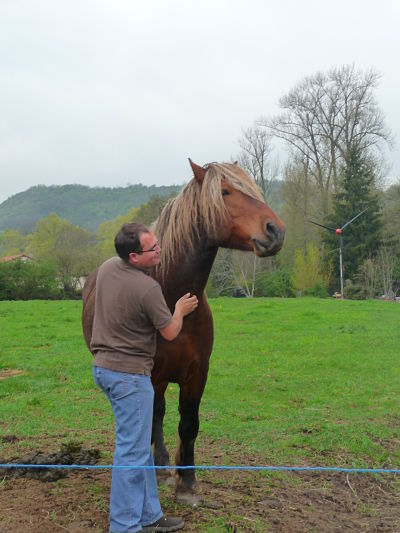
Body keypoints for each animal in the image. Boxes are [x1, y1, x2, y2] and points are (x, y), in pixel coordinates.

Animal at [83, 158, 286, 502]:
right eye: (225, 192)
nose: (275, 231)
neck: (171, 293)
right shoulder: (151, 375)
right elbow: (153, 418)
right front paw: (164, 470)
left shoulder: (197, 373)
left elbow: (189, 424)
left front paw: (187, 482)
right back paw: (160, 464)